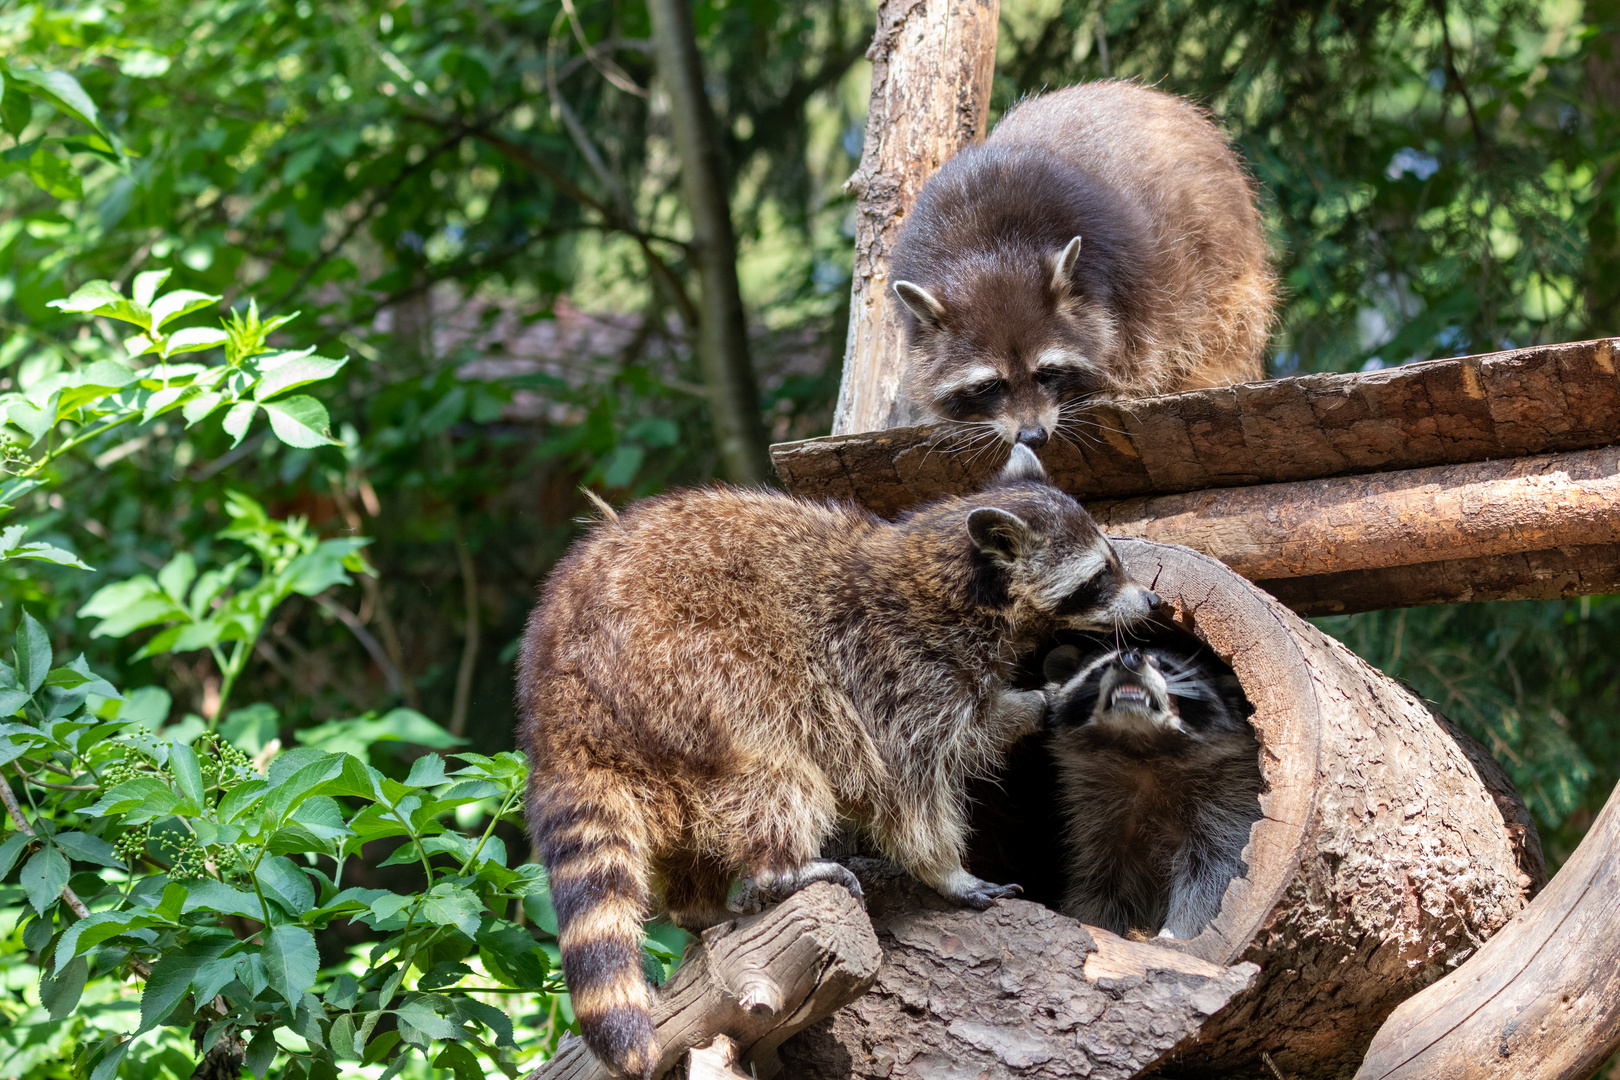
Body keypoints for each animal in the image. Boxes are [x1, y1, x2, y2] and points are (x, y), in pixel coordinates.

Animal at [518, 446, 1166, 1080]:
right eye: (1099, 576)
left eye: (1115, 559)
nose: (1155, 599)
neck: (952, 580)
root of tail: (556, 699)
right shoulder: (897, 670)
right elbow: (908, 787)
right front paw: (946, 870)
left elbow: (982, 718)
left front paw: (1037, 703)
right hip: (689, 671)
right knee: (772, 764)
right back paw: (781, 868)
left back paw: (698, 902)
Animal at [887, 78, 1276, 446]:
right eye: (990, 385)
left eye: (1047, 373)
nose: (1033, 437)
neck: (988, 248)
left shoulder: (1129, 273)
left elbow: (1144, 346)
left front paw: (1114, 385)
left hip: (1224, 255)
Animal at [1036, 637, 1263, 939]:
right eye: (1104, 665)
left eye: (1166, 667)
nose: (1129, 659)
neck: (1143, 754)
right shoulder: (1098, 822)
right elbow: (1096, 885)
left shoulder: (1230, 799)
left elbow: (1213, 873)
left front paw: (1177, 931)